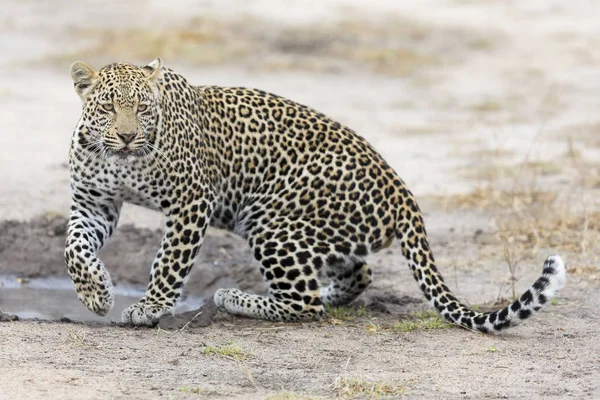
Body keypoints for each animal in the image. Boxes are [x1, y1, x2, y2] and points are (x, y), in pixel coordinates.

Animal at [65, 57, 568, 332]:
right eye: (109, 107)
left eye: (143, 109)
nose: (128, 136)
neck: (120, 160)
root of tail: (403, 190)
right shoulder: (94, 202)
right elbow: (74, 247)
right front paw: (96, 294)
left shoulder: (191, 203)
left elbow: (168, 263)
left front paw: (148, 308)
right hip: (320, 234)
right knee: (358, 273)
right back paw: (326, 292)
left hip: (272, 222)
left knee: (304, 304)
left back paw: (236, 298)